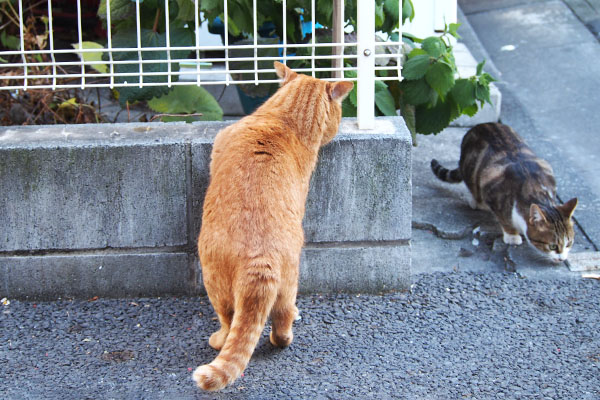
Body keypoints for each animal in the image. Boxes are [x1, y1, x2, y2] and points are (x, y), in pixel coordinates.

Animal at [191, 62, 352, 390]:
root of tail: (260, 259)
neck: (284, 120)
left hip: (214, 280)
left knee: (230, 320)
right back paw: (283, 338)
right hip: (288, 281)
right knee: (283, 317)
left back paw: (219, 339)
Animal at [432, 123, 576, 264]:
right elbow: (504, 218)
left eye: (569, 243)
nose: (562, 259)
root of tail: (480, 125)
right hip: (470, 169)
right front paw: (512, 236)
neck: (535, 190)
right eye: (552, 246)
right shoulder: (492, 190)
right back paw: (475, 201)